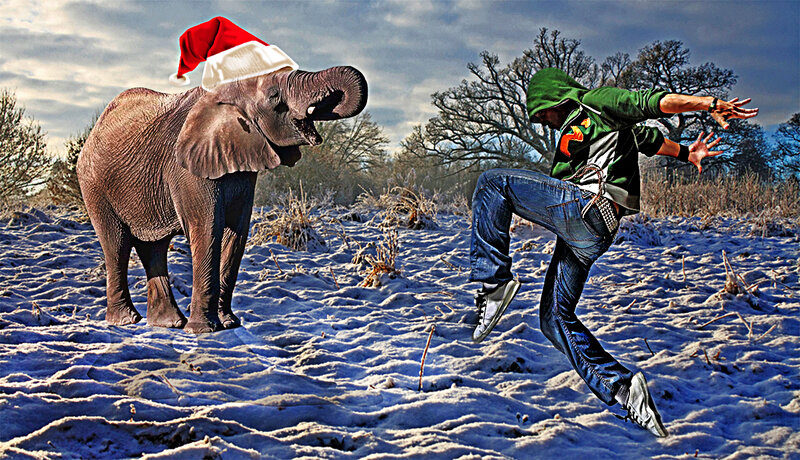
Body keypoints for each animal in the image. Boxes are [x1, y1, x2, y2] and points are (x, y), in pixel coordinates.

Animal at [77, 66, 367, 333]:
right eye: (275, 96)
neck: (231, 88)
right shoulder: (187, 169)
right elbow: (208, 229)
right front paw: (203, 330)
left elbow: (236, 233)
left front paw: (229, 324)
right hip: (94, 186)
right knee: (117, 244)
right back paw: (127, 320)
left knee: (154, 247)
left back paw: (168, 323)